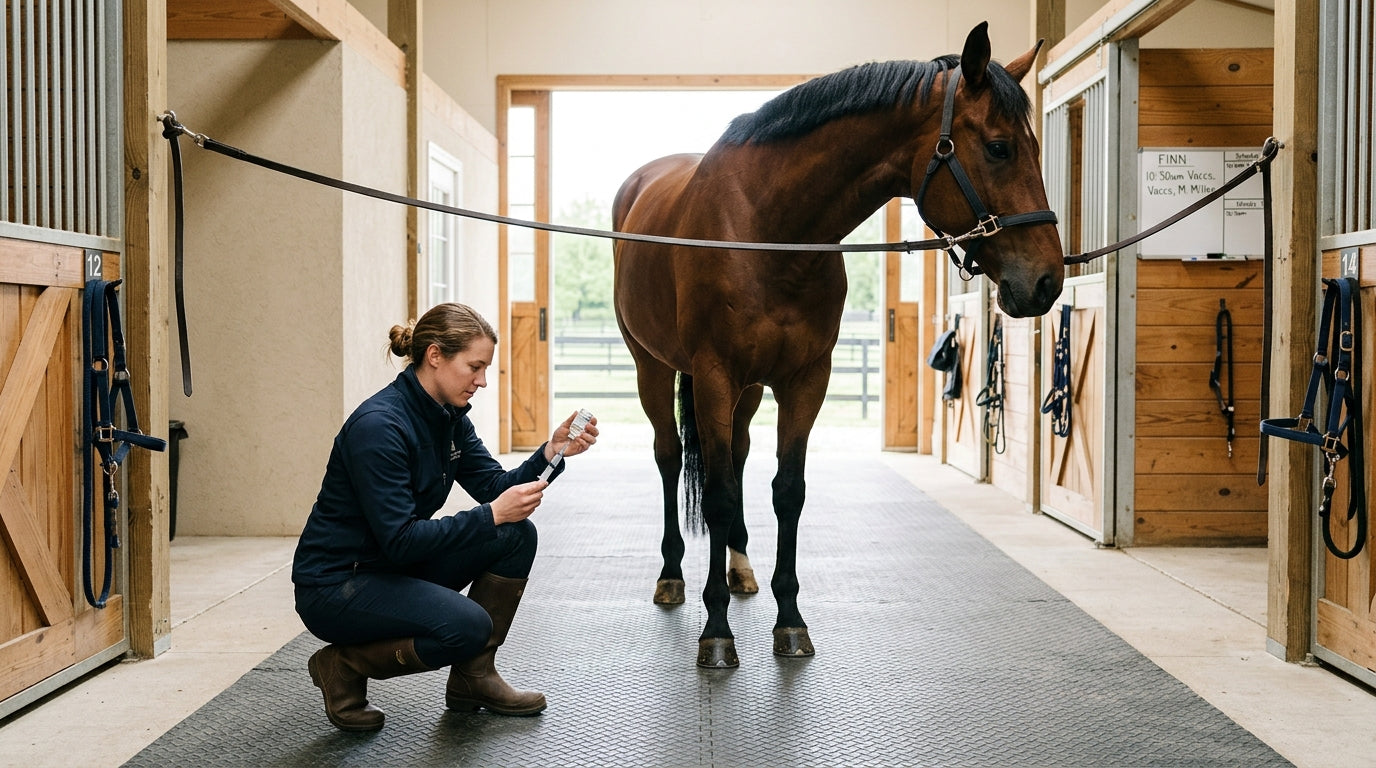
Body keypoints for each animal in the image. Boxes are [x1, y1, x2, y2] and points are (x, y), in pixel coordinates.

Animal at [611, 22, 1064, 668]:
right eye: (1000, 147)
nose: (1048, 281)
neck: (768, 229)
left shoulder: (806, 380)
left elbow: (787, 492)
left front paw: (789, 620)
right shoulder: (716, 375)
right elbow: (717, 495)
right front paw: (716, 630)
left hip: (748, 391)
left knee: (740, 456)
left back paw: (740, 567)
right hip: (653, 368)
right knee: (671, 457)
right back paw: (672, 575)